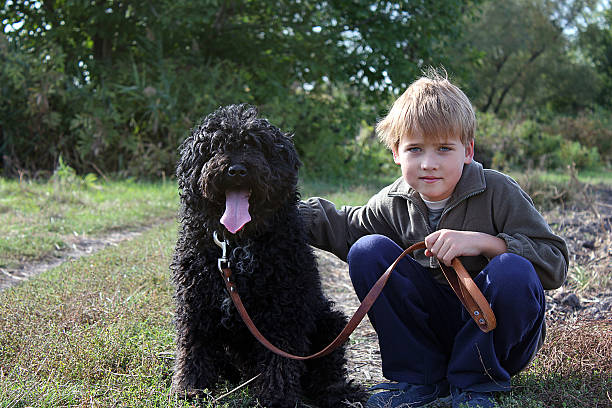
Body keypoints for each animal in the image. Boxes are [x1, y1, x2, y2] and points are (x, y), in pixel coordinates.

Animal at [170, 103, 366, 406]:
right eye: (216, 147)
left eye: (257, 146)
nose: (236, 170)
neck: (236, 244)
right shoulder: (196, 302)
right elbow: (193, 346)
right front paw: (190, 388)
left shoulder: (283, 307)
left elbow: (280, 356)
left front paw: (277, 396)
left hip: (330, 323)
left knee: (327, 369)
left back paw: (338, 391)